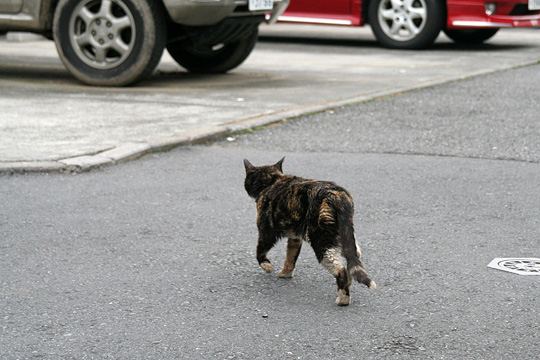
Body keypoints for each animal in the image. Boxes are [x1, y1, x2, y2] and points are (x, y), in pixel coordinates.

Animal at [245, 158, 376, 306]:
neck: (272, 181)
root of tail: (338, 195)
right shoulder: (295, 237)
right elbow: (290, 257)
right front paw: (285, 274)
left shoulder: (266, 231)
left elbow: (260, 250)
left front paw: (267, 266)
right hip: (345, 238)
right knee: (353, 260)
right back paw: (348, 284)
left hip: (321, 240)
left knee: (340, 269)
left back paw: (343, 299)